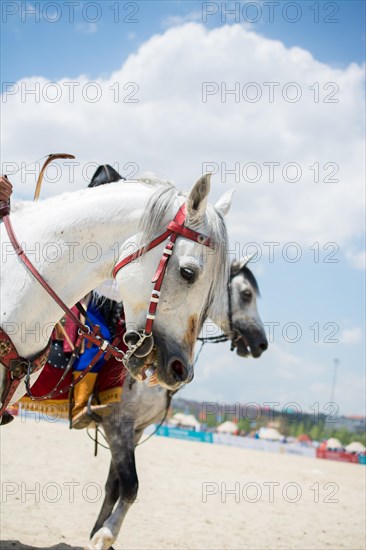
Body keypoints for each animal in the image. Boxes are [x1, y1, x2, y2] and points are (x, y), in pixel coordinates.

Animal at [87, 260, 268, 550]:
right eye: (247, 294)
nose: (262, 343)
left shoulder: (134, 431)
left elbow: (113, 486)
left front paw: (97, 533)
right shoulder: (117, 426)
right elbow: (130, 485)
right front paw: (105, 535)